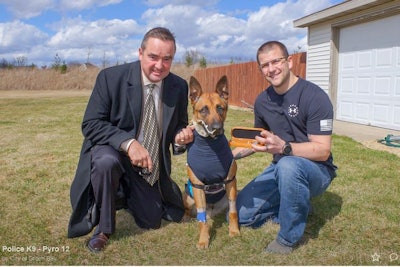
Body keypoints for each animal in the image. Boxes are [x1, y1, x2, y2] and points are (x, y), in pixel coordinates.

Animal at [183, 76, 239, 251]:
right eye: (204, 110)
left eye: (220, 108)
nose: (216, 128)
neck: (210, 147)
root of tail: (212, 211)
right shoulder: (198, 187)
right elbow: (202, 221)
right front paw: (204, 240)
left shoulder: (230, 182)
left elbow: (234, 212)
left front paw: (234, 231)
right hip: (188, 196)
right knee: (192, 212)